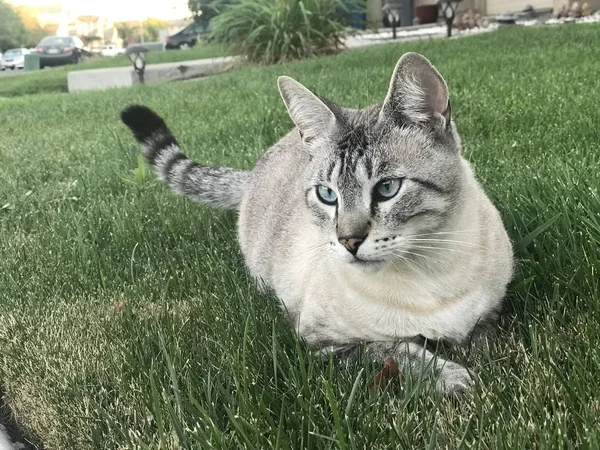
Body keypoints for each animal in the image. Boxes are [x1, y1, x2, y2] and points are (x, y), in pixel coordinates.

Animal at [120, 51, 510, 392]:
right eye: (327, 195)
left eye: (387, 188)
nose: (348, 241)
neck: (430, 270)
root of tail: (256, 169)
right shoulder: (323, 342)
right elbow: (399, 352)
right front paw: (456, 379)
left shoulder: (490, 312)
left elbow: (486, 340)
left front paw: (483, 362)